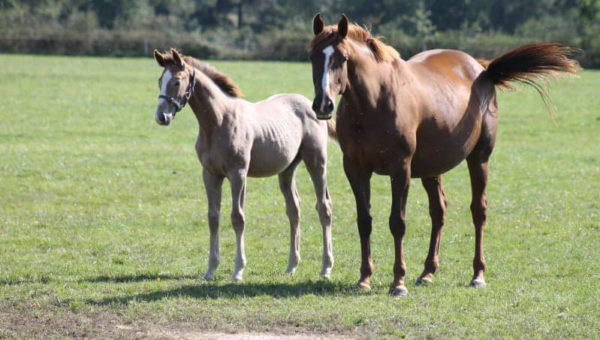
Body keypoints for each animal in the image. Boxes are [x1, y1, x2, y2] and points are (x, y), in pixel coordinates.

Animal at [152, 47, 336, 282]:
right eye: (160, 80)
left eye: (176, 82)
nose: (161, 117)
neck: (217, 122)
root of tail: (312, 105)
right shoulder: (210, 174)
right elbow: (213, 217)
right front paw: (211, 270)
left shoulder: (238, 173)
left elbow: (237, 217)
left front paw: (238, 270)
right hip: (287, 171)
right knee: (294, 210)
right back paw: (291, 266)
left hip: (317, 162)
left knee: (324, 207)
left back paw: (326, 268)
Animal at [310, 13, 576, 294]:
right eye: (313, 55)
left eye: (342, 58)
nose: (324, 105)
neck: (374, 103)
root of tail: (482, 70)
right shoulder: (355, 169)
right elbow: (364, 222)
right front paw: (364, 279)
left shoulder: (400, 169)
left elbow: (397, 222)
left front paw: (398, 282)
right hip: (431, 169)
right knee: (438, 211)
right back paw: (427, 272)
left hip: (479, 159)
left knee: (478, 211)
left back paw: (478, 274)